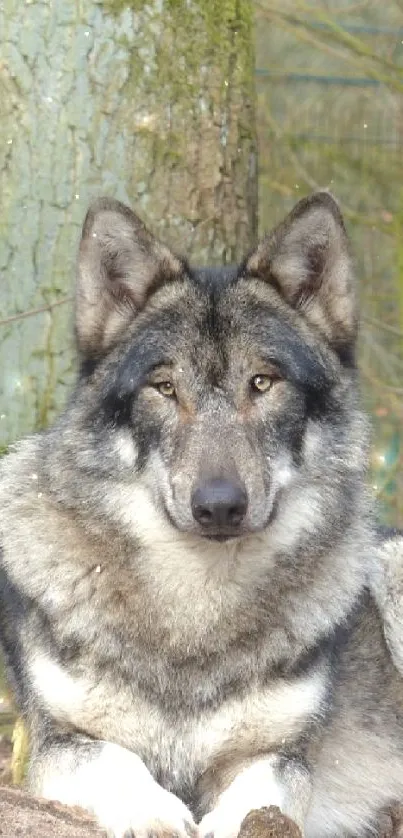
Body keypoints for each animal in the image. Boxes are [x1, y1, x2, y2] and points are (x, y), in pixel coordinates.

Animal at [0, 194, 403, 838]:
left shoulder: (283, 755)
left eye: (262, 382)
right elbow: (114, 762)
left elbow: (263, 794)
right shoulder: (56, 742)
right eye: (164, 388)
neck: (197, 606)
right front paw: (155, 815)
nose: (218, 505)